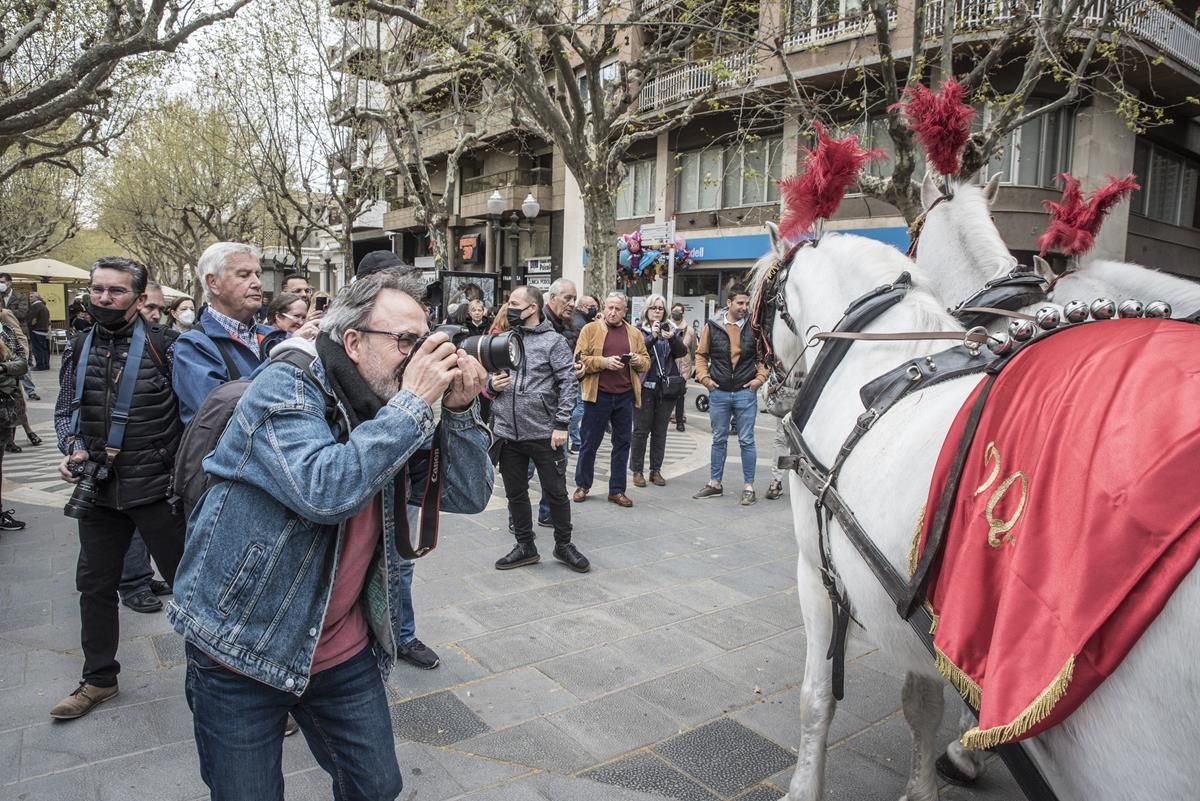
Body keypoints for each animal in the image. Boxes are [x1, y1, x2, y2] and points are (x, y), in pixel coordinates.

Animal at [763, 225, 1200, 801]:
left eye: (766, 295)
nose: (767, 389)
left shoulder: (818, 573)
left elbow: (816, 699)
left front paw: (805, 786)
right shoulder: (921, 607)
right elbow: (923, 705)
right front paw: (927, 783)